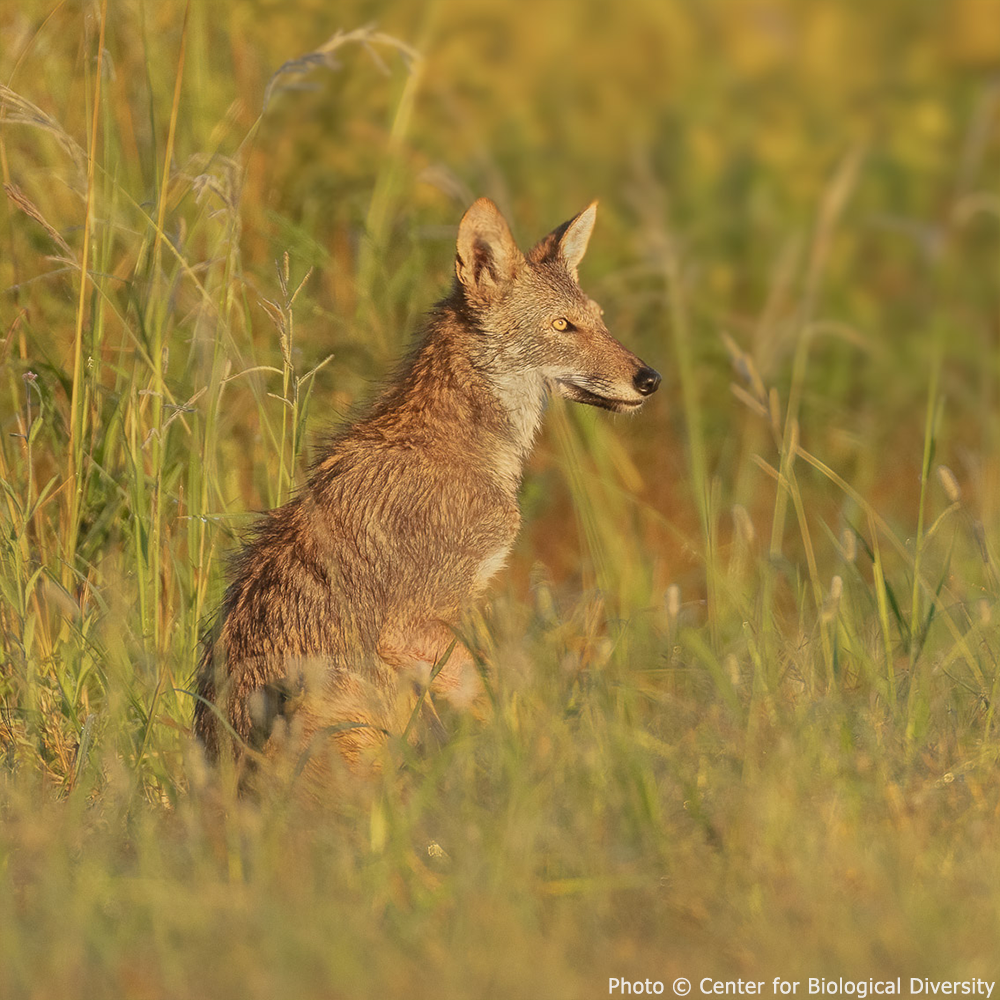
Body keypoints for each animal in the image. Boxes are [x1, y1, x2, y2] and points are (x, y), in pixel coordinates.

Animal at [193, 197, 660, 775]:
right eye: (562, 325)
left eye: (599, 321)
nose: (650, 379)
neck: (464, 447)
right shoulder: (412, 625)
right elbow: (497, 696)